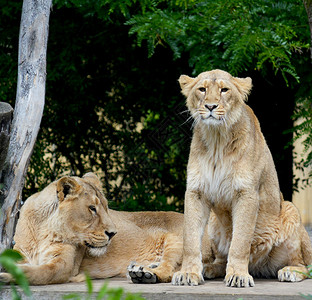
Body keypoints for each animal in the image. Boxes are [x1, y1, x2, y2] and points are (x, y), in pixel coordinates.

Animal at [172, 69, 310, 288]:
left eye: (224, 90)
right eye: (202, 89)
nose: (210, 106)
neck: (217, 140)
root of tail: (259, 267)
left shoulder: (246, 193)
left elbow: (240, 241)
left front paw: (238, 275)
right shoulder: (196, 192)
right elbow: (190, 239)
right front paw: (188, 273)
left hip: (290, 210)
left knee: (303, 264)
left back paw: (290, 272)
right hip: (213, 222)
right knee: (221, 259)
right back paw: (210, 268)